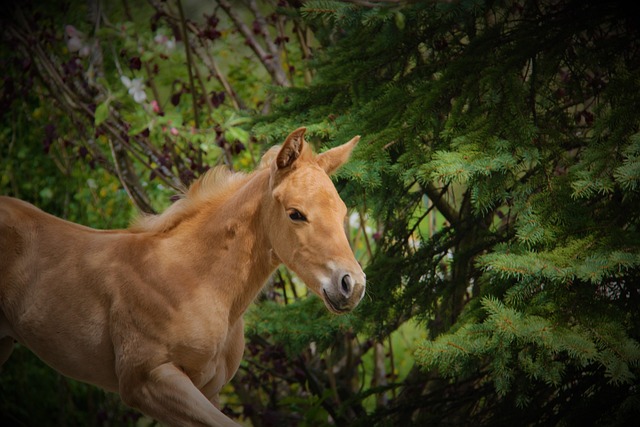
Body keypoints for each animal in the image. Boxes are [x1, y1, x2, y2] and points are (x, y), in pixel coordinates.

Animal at [0, 128, 368, 427]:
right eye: (296, 214)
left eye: (342, 212)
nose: (352, 285)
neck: (189, 279)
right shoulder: (147, 380)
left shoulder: (209, 392)